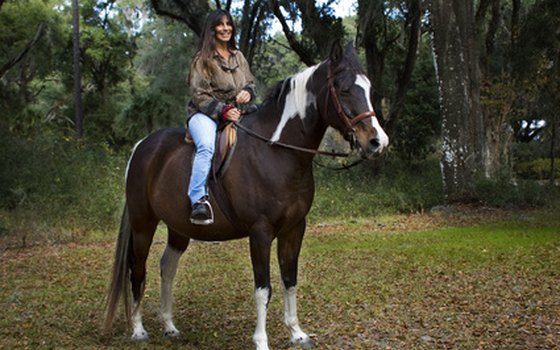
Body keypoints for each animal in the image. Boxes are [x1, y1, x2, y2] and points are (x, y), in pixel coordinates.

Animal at [103, 42, 388, 348]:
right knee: (137, 269)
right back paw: (138, 329)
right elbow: (263, 289)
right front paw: (261, 340)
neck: (277, 152)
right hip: (143, 224)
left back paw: (169, 325)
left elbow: (290, 279)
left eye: (368, 88)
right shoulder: (260, 232)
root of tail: (143, 146)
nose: (377, 142)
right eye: (344, 89)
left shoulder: (294, 229)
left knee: (167, 266)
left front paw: (296, 332)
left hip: (178, 227)